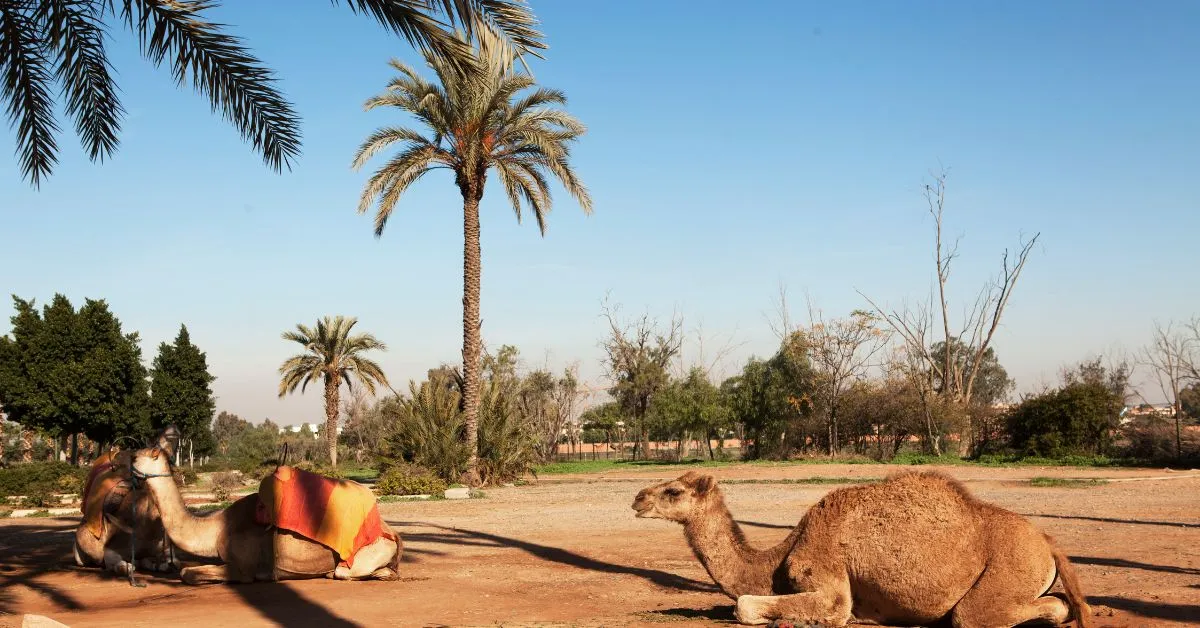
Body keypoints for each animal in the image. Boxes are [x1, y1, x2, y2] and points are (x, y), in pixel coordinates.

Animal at [72, 427, 178, 581]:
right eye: (154, 446)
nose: (173, 429)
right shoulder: (111, 548)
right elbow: (122, 565)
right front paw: (129, 567)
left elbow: (170, 562)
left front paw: (160, 565)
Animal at [130, 441, 403, 585]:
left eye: (134, 458)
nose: (121, 460)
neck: (217, 528)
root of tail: (393, 532)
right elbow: (185, 567)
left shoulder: (244, 569)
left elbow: (189, 573)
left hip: (369, 551)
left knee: (347, 572)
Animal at [633, 470, 1094, 628]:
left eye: (673, 491)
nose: (637, 498)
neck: (777, 558)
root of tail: (1047, 543)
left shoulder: (827, 579)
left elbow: (745, 605)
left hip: (1009, 568)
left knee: (980, 615)